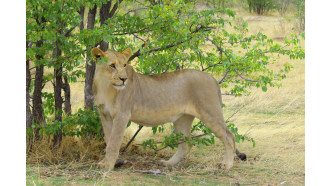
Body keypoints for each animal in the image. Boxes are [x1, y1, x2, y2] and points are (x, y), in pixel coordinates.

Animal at [90, 46, 245, 170]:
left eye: (124, 65)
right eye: (112, 65)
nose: (124, 79)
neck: (105, 85)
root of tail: (213, 78)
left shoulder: (122, 115)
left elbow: (114, 143)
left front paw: (108, 166)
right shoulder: (105, 115)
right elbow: (108, 141)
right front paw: (106, 162)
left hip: (210, 113)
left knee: (229, 136)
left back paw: (226, 164)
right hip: (182, 120)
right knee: (185, 145)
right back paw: (168, 163)